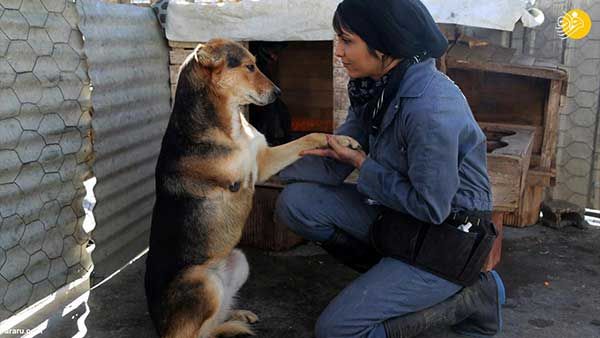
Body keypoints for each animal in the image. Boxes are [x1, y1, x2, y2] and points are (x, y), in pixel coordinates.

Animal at [145, 37, 360, 338]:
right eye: (249, 66)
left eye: (258, 63)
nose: (278, 92)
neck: (227, 122)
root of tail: (159, 327)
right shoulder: (243, 177)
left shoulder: (263, 160)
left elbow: (310, 137)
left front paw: (342, 142)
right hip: (202, 281)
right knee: (197, 333)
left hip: (239, 262)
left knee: (214, 318)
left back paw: (237, 314)